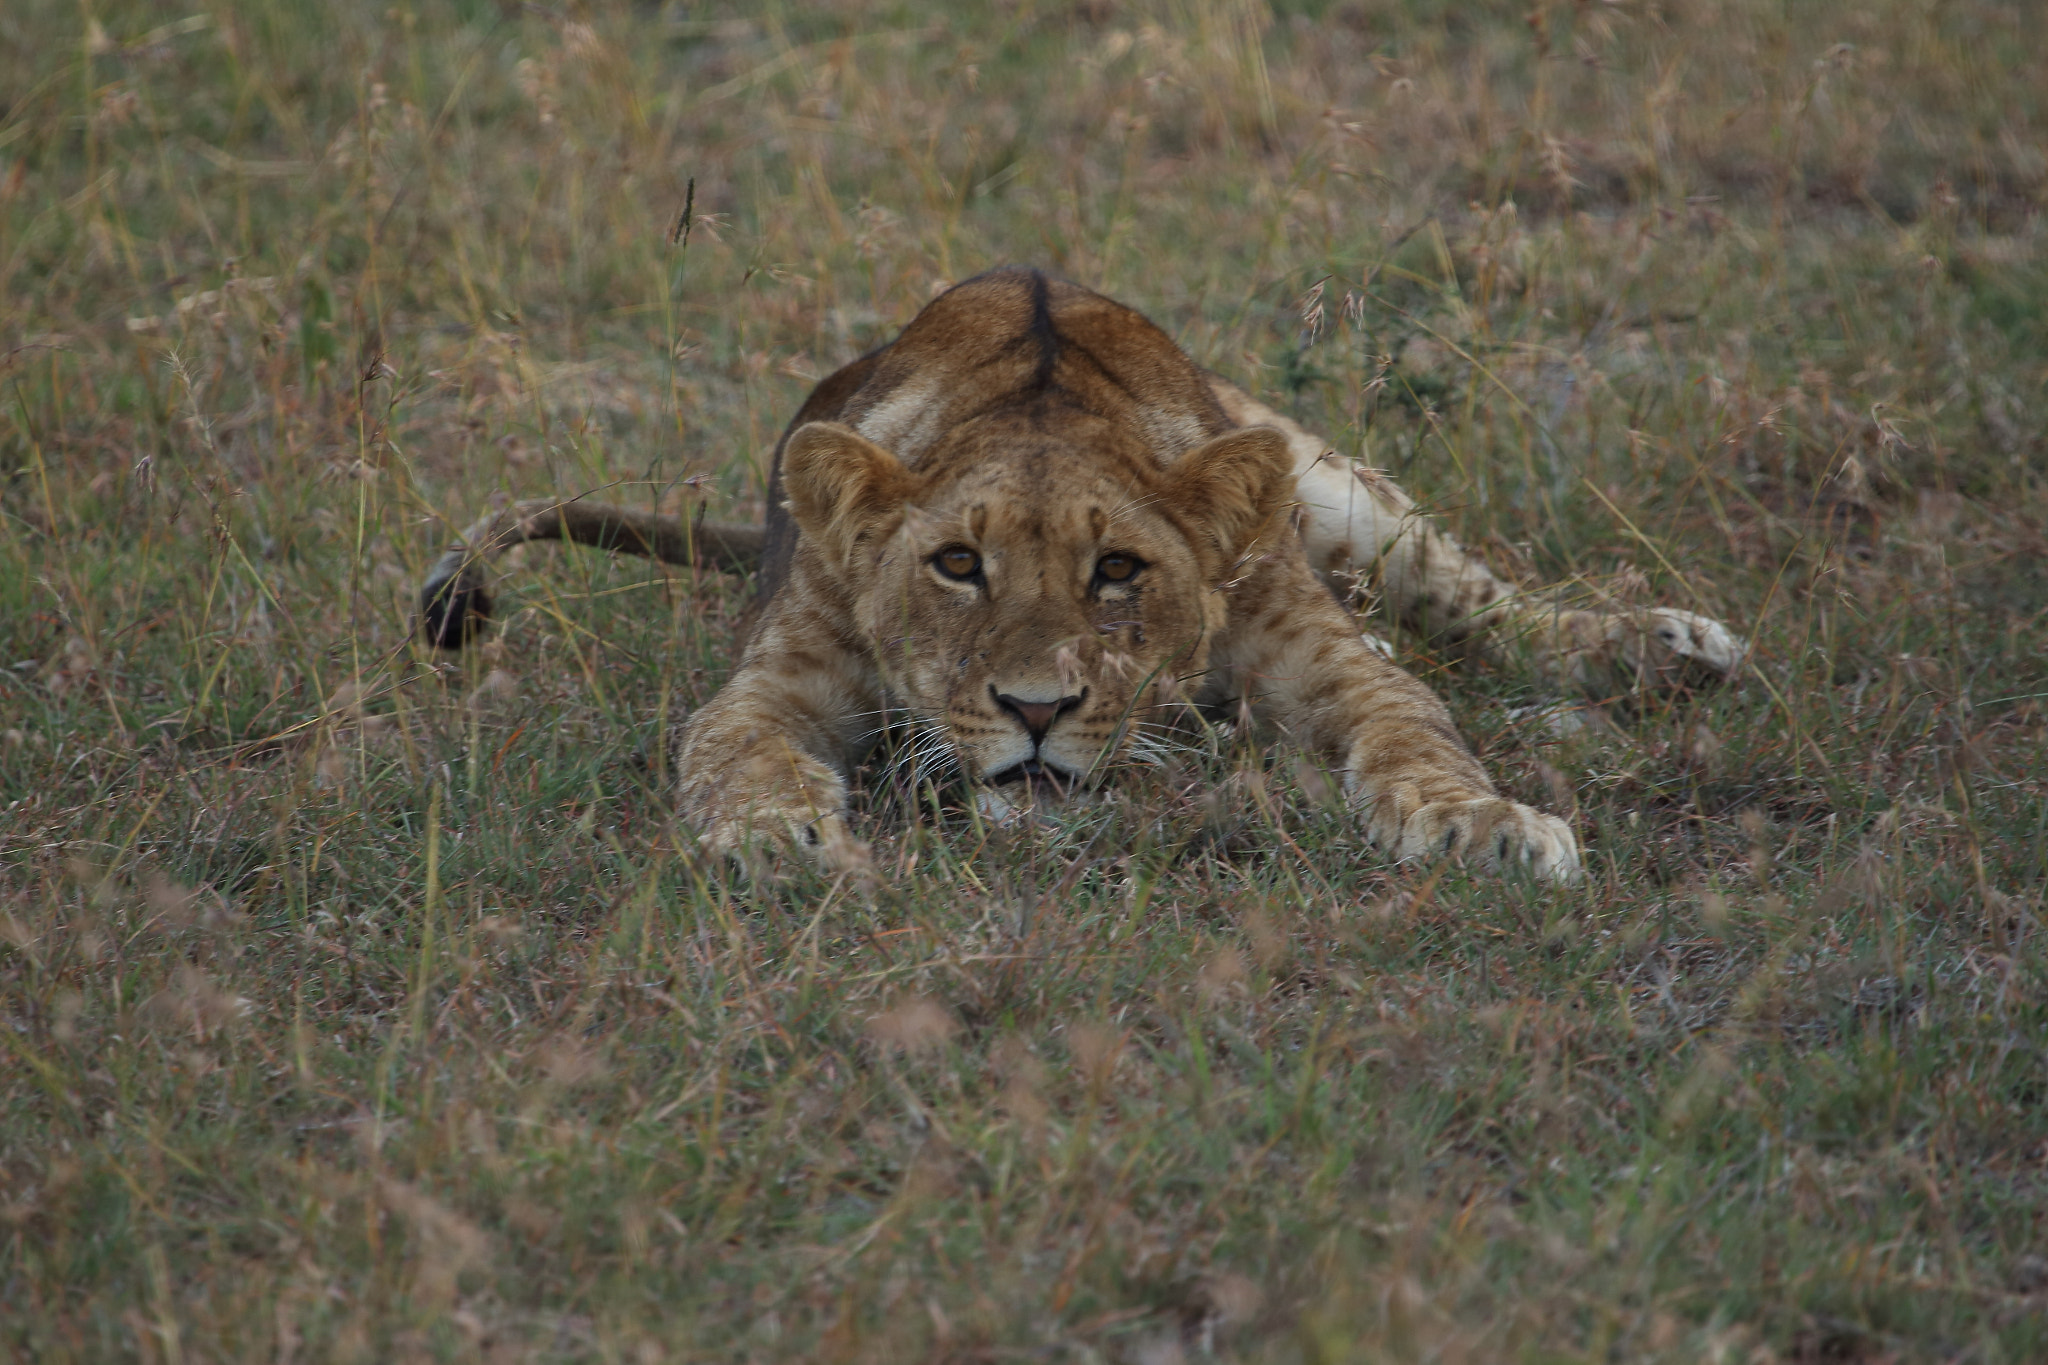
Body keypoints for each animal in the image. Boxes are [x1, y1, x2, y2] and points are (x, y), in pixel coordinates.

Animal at [421, 268, 1743, 881]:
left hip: (1325, 483)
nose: (1037, 711)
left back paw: (1662, 647)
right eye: (957, 564)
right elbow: (735, 753)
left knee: (1473, 601)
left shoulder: (1323, 662)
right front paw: (779, 838)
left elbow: (1415, 729)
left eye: (1118, 570)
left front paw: (1487, 827)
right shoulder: (774, 681)